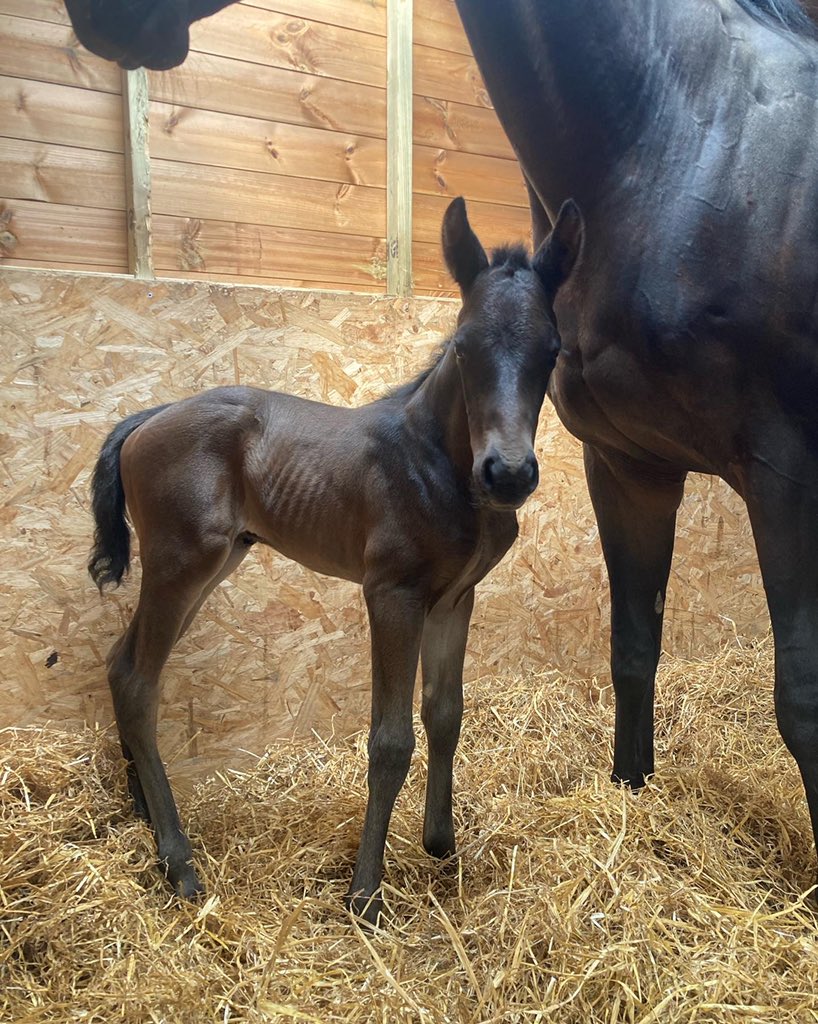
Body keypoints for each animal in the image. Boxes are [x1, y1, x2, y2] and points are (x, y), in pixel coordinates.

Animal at [87, 197, 584, 923]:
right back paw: (178, 861)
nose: (509, 473)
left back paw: (145, 821)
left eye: (551, 352)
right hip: (182, 560)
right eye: (464, 346)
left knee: (120, 661)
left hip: (213, 564)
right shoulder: (394, 593)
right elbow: (390, 738)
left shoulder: (455, 597)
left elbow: (445, 713)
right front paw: (365, 893)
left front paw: (441, 844)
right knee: (137, 680)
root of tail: (149, 416)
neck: (442, 463)